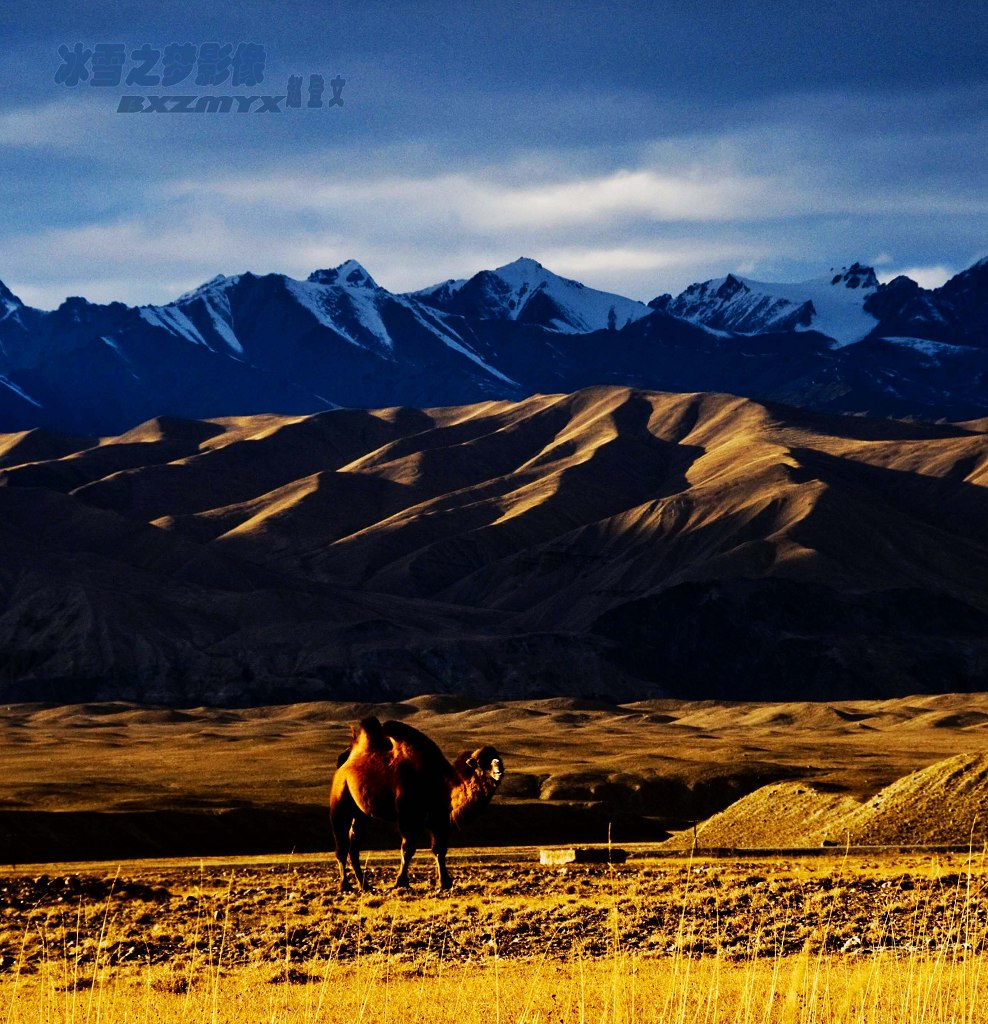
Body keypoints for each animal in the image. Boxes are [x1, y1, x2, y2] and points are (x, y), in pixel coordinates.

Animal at [329, 716, 505, 892]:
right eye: (482, 763)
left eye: (499, 759)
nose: (499, 769)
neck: (440, 783)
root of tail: (343, 764)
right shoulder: (408, 816)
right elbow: (408, 849)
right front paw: (401, 882)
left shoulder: (439, 820)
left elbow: (439, 849)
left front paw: (445, 882)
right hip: (340, 799)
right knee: (342, 845)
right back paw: (345, 885)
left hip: (361, 813)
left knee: (354, 845)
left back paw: (364, 885)